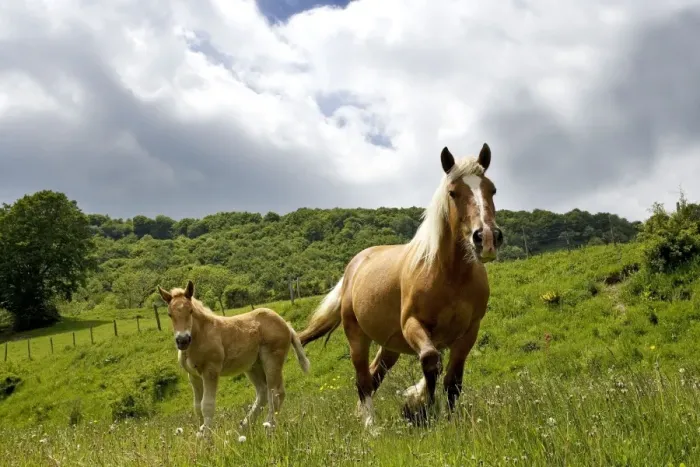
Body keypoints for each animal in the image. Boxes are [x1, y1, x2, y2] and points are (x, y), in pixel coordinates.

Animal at [157, 280, 310, 437]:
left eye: (191, 311)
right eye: (169, 314)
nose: (182, 340)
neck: (201, 335)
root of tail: (286, 324)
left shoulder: (211, 371)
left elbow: (207, 406)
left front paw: (207, 439)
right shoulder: (193, 375)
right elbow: (197, 407)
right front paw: (200, 435)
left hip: (272, 360)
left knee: (276, 393)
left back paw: (268, 429)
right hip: (253, 366)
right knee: (263, 392)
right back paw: (243, 428)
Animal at [298, 143, 503, 427]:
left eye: (492, 189)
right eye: (453, 192)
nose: (487, 238)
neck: (449, 275)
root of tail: (354, 266)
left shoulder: (469, 331)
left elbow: (453, 380)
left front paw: (445, 418)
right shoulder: (412, 324)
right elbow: (430, 361)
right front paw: (423, 408)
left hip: (389, 346)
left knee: (374, 376)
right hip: (356, 337)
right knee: (363, 381)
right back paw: (371, 427)